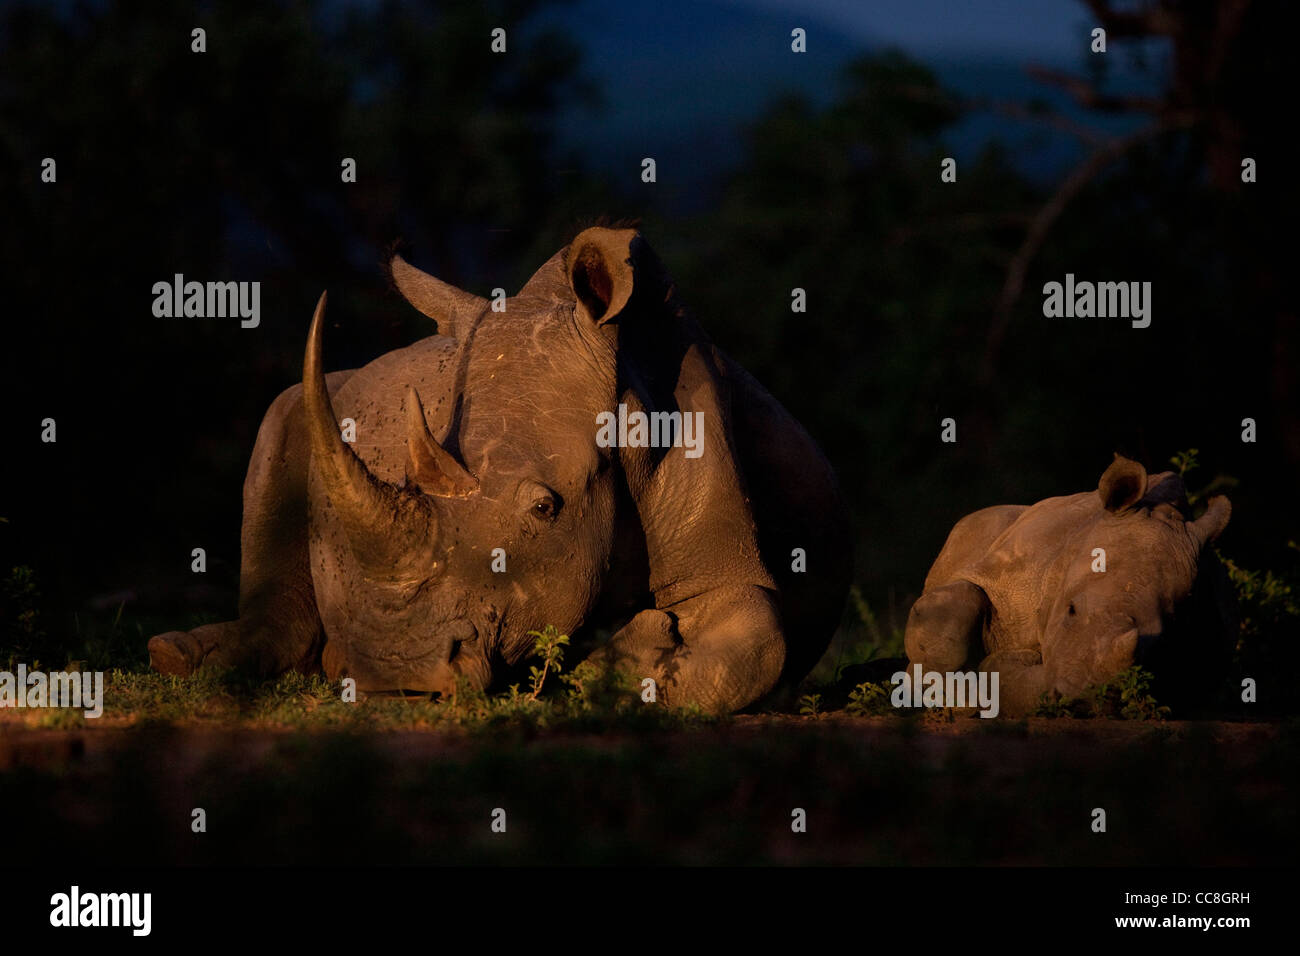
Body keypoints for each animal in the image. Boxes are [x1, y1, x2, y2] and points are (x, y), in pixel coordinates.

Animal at [149, 227, 852, 712]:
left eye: (544, 508)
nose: (397, 676)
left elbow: (759, 635)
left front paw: (611, 666)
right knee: (282, 413)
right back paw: (179, 657)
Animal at [904, 455, 1227, 717]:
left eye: (1162, 639)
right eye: (1070, 610)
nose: (1084, 700)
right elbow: (958, 605)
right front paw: (960, 699)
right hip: (975, 528)